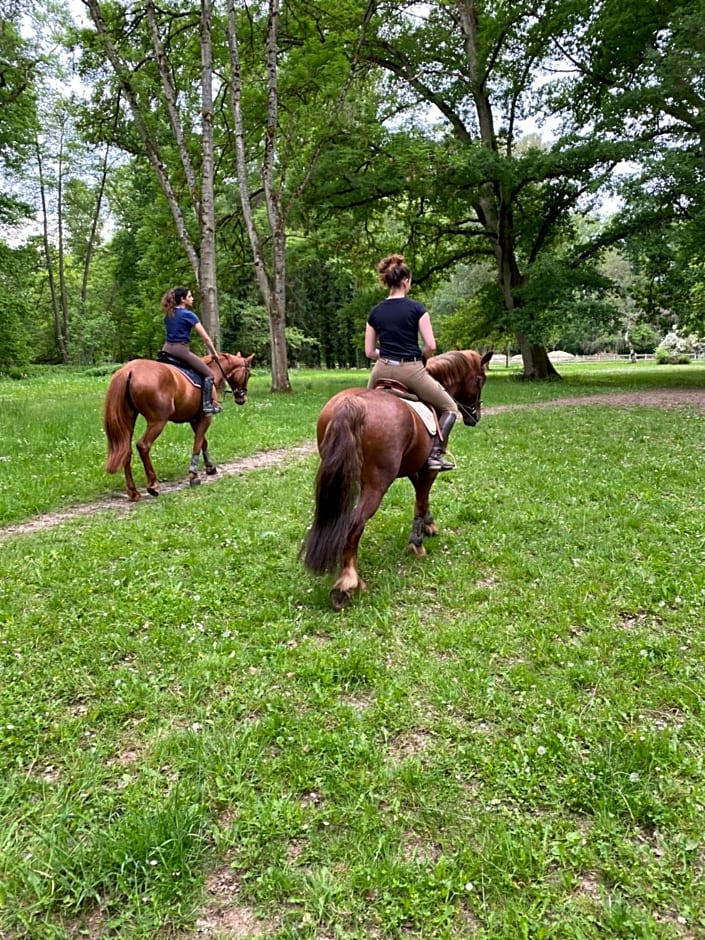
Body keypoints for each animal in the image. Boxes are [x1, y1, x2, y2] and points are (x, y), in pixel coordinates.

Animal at [106, 350, 254, 500]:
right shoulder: (206, 417)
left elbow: (203, 442)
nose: (242, 398)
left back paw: (133, 492)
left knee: (126, 450)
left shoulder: (194, 420)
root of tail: (130, 370)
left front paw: (210, 467)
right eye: (248, 374)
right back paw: (153, 485)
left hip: (129, 420)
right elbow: (197, 443)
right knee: (143, 446)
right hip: (157, 421)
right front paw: (193, 476)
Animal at [302, 350, 490, 608]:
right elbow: (421, 498)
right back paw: (348, 582)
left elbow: (421, 496)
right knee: (354, 524)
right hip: (376, 484)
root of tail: (353, 404)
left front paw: (428, 525)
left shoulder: (413, 465)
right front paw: (417, 543)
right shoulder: (430, 468)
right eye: (480, 380)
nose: (474, 417)